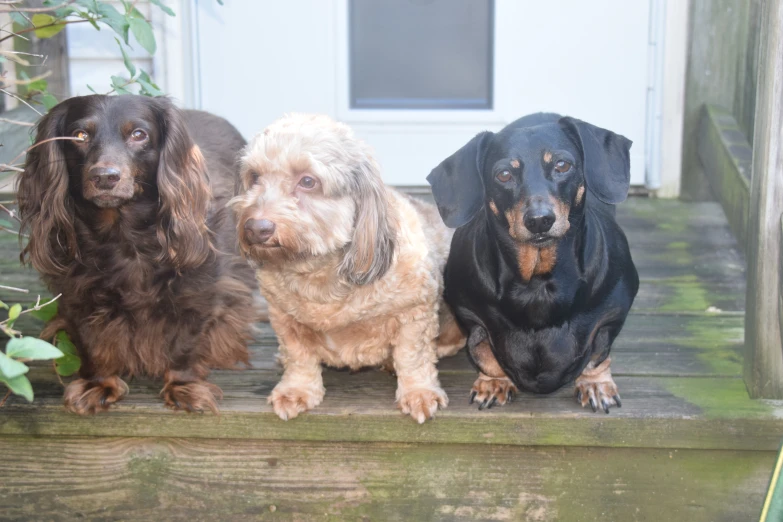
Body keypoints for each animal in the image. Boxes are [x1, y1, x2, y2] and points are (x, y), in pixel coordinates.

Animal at [16, 92, 258, 410]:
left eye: (138, 134)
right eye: (79, 135)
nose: (105, 177)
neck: (124, 237)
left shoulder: (199, 293)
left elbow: (185, 344)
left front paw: (184, 386)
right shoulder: (76, 297)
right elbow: (90, 343)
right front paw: (98, 384)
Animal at [233, 115, 466, 422]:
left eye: (308, 181)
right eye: (254, 177)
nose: (256, 228)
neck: (319, 273)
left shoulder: (415, 312)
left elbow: (412, 356)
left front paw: (418, 393)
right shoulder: (284, 318)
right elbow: (298, 355)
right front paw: (296, 390)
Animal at [428, 112, 636, 410]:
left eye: (562, 165)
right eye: (504, 174)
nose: (539, 220)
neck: (538, 283)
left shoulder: (612, 315)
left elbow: (599, 352)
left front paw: (595, 384)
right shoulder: (470, 314)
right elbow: (482, 350)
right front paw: (494, 382)